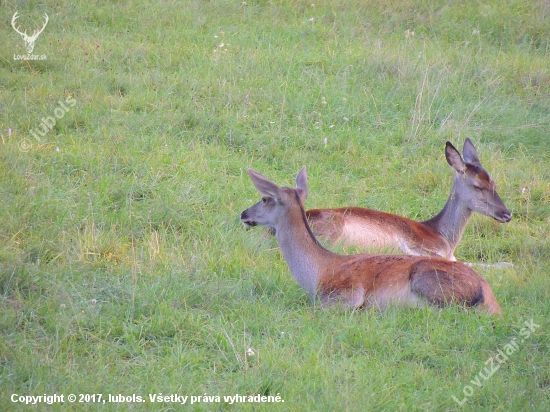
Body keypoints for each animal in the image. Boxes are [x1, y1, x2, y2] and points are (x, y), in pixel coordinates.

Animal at [242, 167, 504, 316]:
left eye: (264, 198)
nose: (244, 213)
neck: (316, 273)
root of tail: (490, 298)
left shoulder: (347, 292)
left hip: (426, 279)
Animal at [306, 138, 512, 260]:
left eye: (494, 183)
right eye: (478, 186)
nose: (506, 214)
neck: (446, 239)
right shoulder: (420, 246)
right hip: (333, 229)